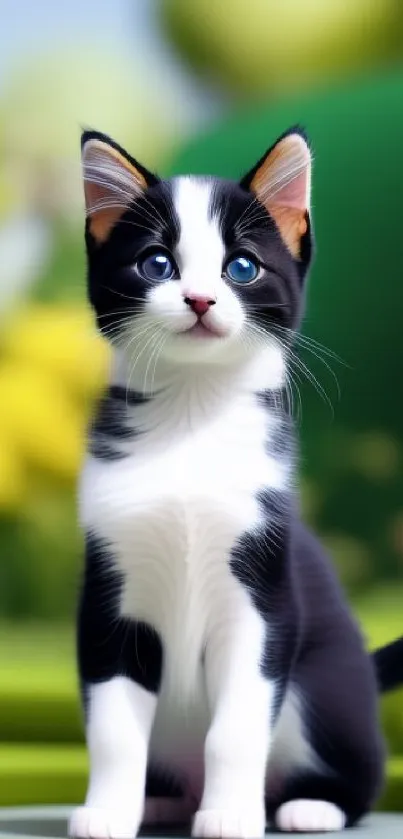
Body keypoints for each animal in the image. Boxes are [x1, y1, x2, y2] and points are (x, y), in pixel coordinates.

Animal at [69, 128, 403, 836]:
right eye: (156, 264)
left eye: (242, 267)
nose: (199, 299)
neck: (190, 419)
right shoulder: (110, 595)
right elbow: (113, 727)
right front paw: (106, 812)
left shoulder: (264, 596)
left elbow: (237, 726)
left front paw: (229, 816)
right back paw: (161, 799)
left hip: (329, 684)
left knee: (355, 772)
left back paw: (311, 805)